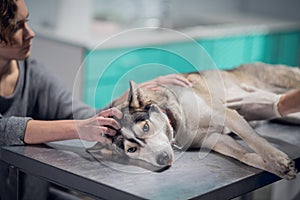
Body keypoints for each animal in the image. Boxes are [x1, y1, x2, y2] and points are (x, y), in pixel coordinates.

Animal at [88, 63, 298, 180]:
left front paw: (278, 161)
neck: (176, 122)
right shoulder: (214, 138)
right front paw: (277, 168)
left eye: (146, 127)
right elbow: (245, 156)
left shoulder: (226, 114)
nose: (163, 158)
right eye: (132, 149)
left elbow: (254, 141)